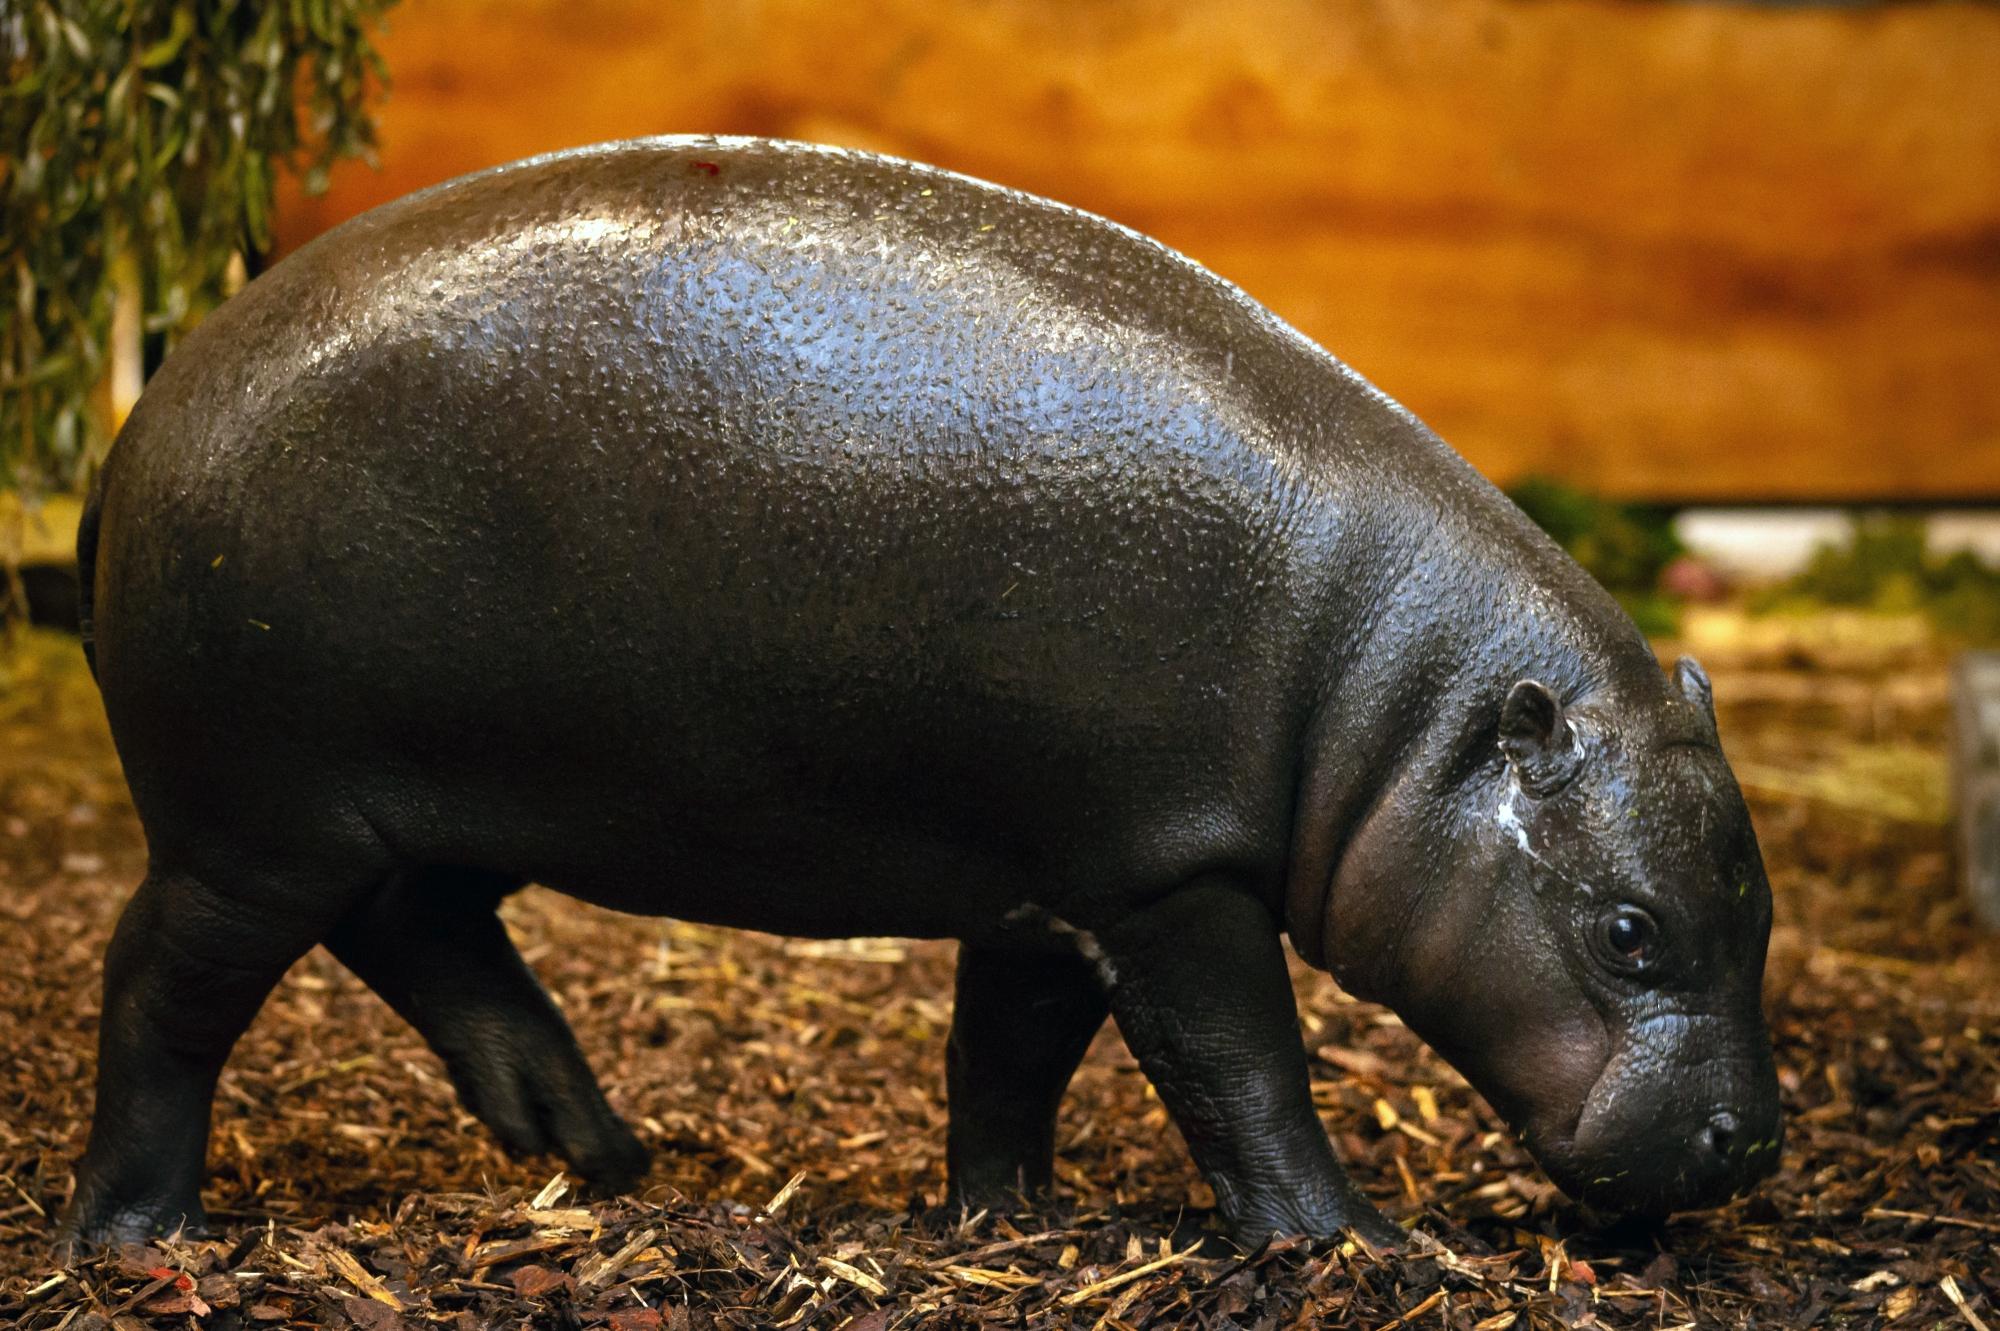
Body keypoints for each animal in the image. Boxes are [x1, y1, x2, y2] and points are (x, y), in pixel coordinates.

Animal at [61, 136, 1780, 1251]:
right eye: (1629, 929)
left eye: (1760, 909)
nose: (1752, 1140)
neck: (1403, 701)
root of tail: (135, 425)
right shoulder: (1171, 869)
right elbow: (1242, 1067)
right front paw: (1344, 1241)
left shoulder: (1058, 881)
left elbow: (1008, 1056)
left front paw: (1004, 1217)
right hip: (253, 817)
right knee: (161, 982)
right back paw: (138, 1235)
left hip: (386, 814)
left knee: (424, 934)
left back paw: (593, 1149)